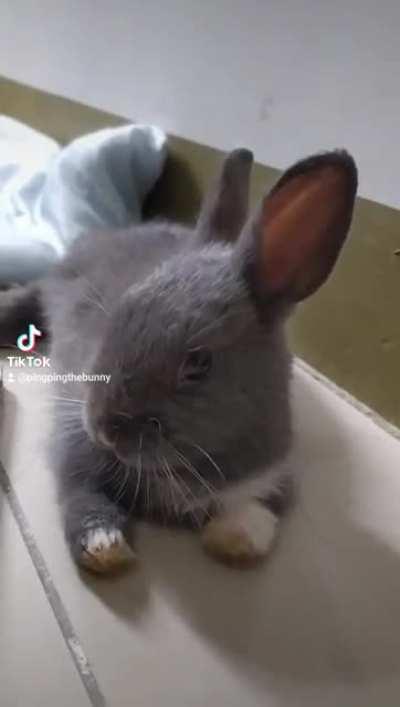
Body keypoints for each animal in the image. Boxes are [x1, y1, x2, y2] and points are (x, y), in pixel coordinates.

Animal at [0, 148, 357, 574]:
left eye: (199, 363)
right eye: (118, 315)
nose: (104, 428)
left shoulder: (274, 473)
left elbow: (259, 506)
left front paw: (237, 540)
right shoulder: (74, 446)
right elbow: (81, 494)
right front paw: (106, 549)